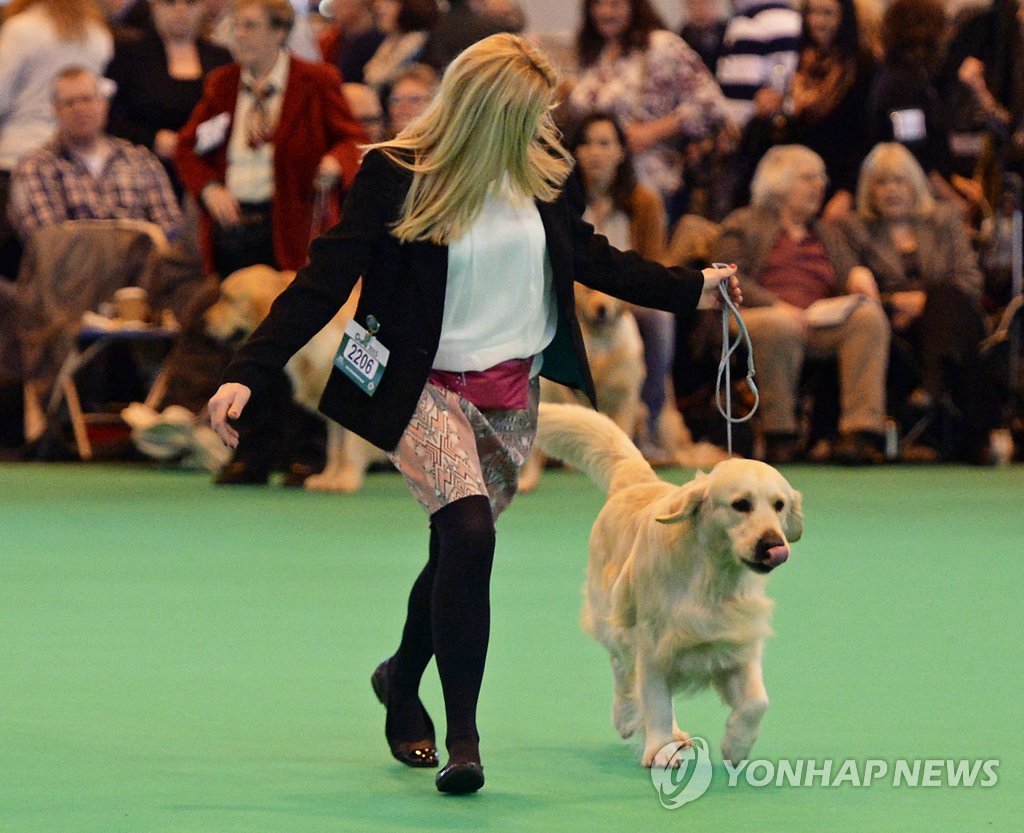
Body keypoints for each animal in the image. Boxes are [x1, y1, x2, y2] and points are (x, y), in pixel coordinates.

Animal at [203, 262, 385, 489]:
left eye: (228, 298)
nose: (204, 322)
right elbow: (336, 448)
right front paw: (328, 479)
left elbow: (349, 448)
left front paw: (345, 479)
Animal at [536, 403, 798, 766]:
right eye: (740, 504)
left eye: (779, 505)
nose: (773, 544)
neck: (711, 575)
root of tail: (634, 483)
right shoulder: (655, 645)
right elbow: (656, 702)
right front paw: (661, 750)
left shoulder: (737, 640)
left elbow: (757, 702)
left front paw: (737, 744)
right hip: (612, 616)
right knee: (624, 672)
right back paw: (630, 719)